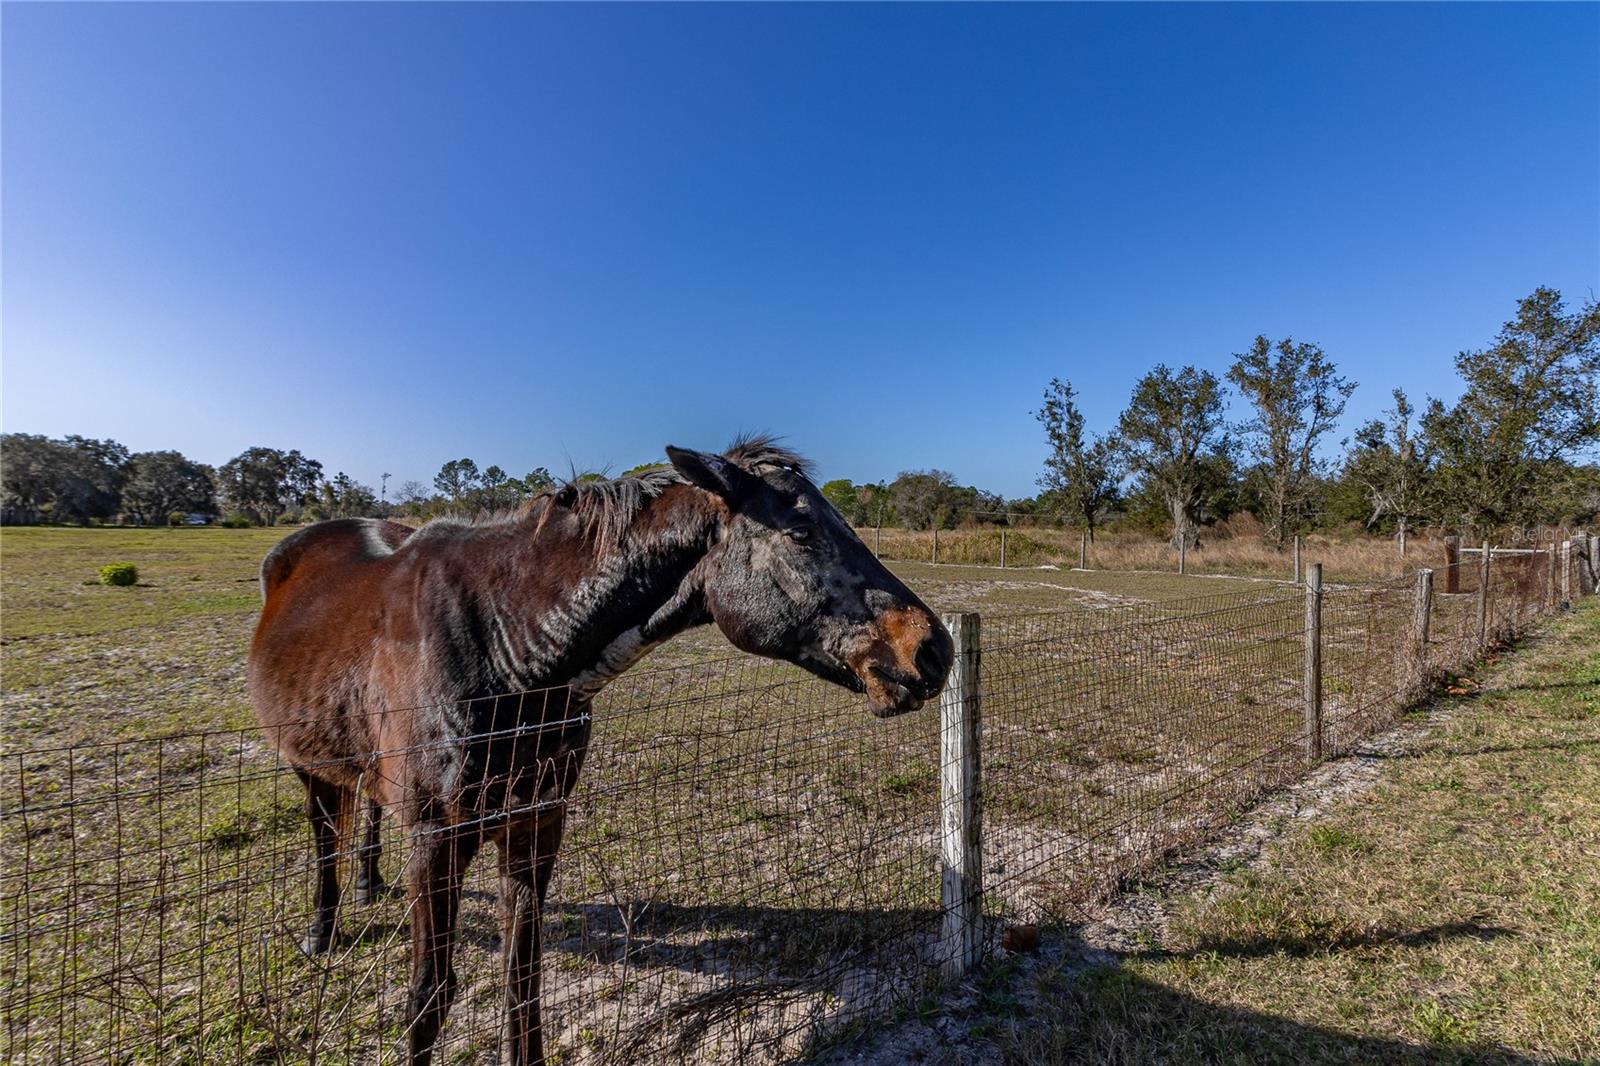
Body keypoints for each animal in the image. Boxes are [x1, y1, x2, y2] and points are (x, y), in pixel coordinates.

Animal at [248, 435, 947, 1062]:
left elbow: (523, 982)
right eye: (802, 533)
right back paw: (322, 929)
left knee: (363, 808)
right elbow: (430, 997)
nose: (931, 648)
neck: (506, 647)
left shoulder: (537, 823)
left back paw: (367, 884)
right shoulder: (436, 838)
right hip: (307, 766)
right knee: (324, 836)